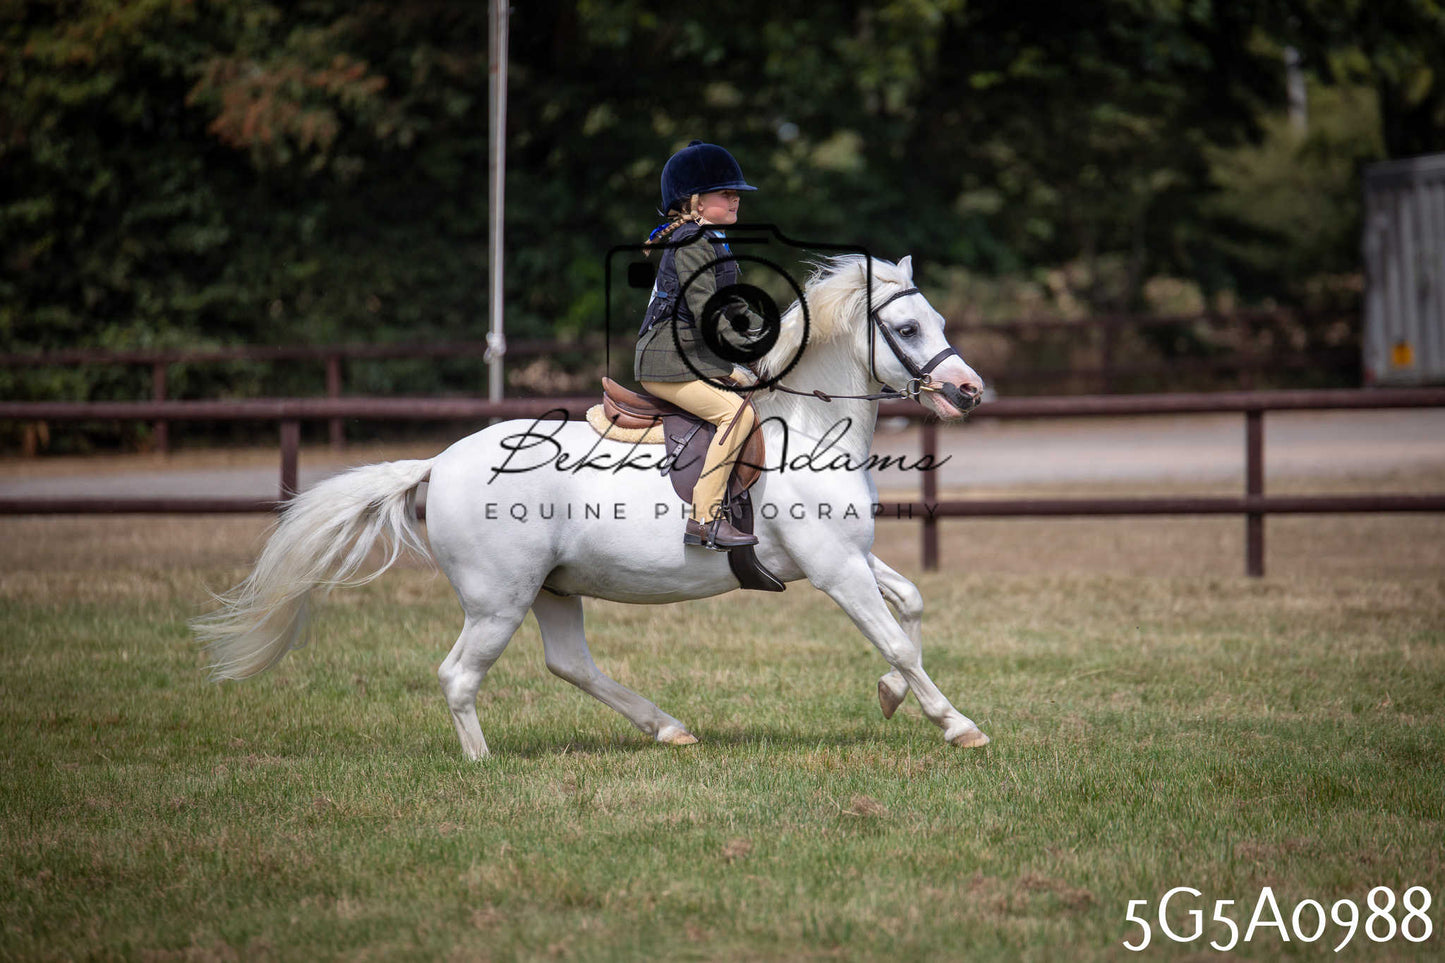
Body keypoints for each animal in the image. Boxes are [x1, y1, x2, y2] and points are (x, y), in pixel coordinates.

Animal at [193, 254, 990, 758]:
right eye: (908, 329)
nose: (969, 391)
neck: (809, 424)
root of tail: (438, 463)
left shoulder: (846, 557)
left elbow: (912, 605)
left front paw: (890, 695)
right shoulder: (832, 568)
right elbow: (893, 637)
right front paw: (955, 724)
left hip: (552, 588)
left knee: (570, 664)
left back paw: (668, 729)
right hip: (499, 598)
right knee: (460, 676)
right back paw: (482, 764)